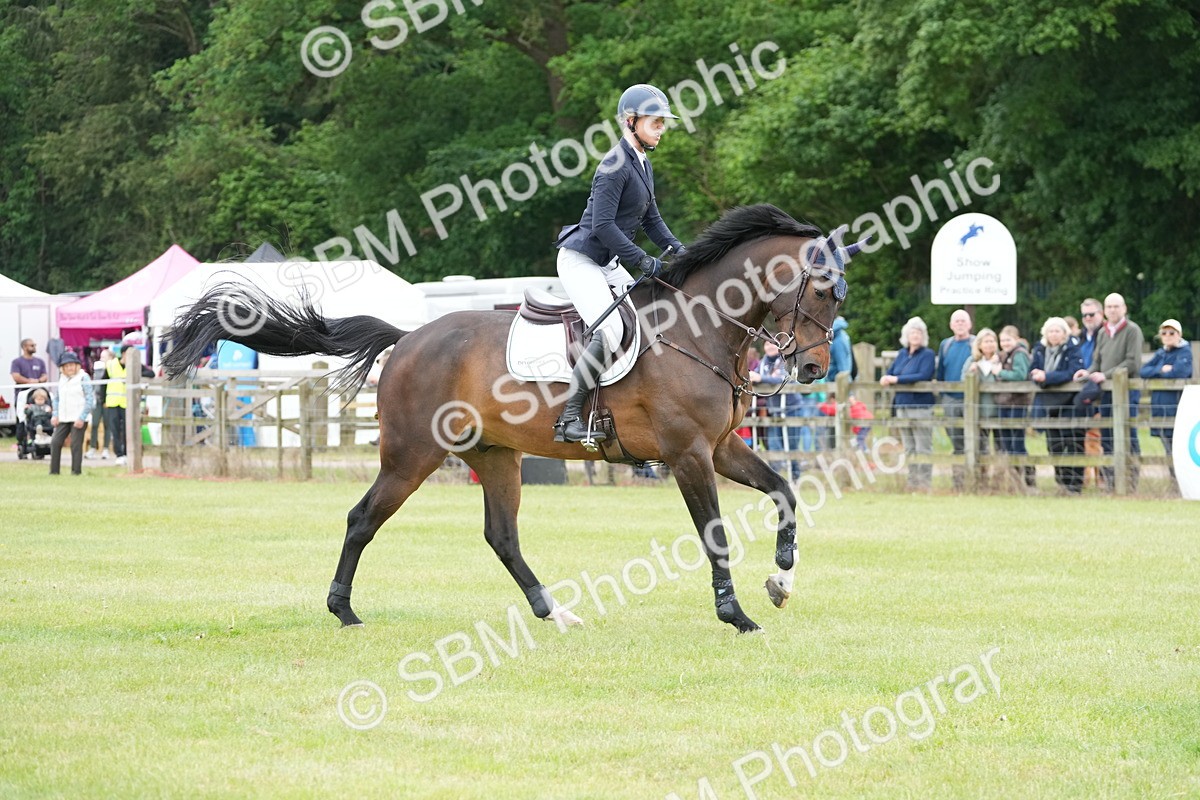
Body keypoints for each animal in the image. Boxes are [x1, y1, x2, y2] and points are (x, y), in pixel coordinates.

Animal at [163, 204, 865, 634]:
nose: (811, 369)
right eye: (822, 290)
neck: (701, 327)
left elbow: (785, 490)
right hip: (412, 455)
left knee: (502, 536)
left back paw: (555, 613)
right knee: (363, 519)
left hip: (494, 455)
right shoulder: (688, 454)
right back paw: (344, 612)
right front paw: (736, 614)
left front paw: (781, 577)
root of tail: (408, 338)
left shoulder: (719, 446)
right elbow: (714, 533)